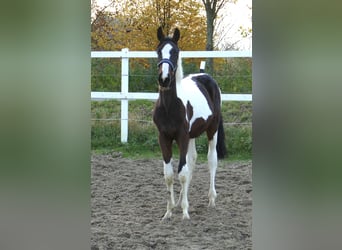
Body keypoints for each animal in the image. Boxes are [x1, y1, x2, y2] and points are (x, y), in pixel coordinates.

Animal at [153, 26, 227, 220]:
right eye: (158, 51)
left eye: (175, 52)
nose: (164, 79)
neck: (170, 106)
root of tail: (206, 76)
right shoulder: (164, 137)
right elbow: (169, 175)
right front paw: (169, 211)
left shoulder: (182, 136)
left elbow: (183, 173)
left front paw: (185, 212)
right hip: (192, 135)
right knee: (192, 160)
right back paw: (180, 201)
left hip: (212, 130)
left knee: (211, 160)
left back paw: (211, 199)